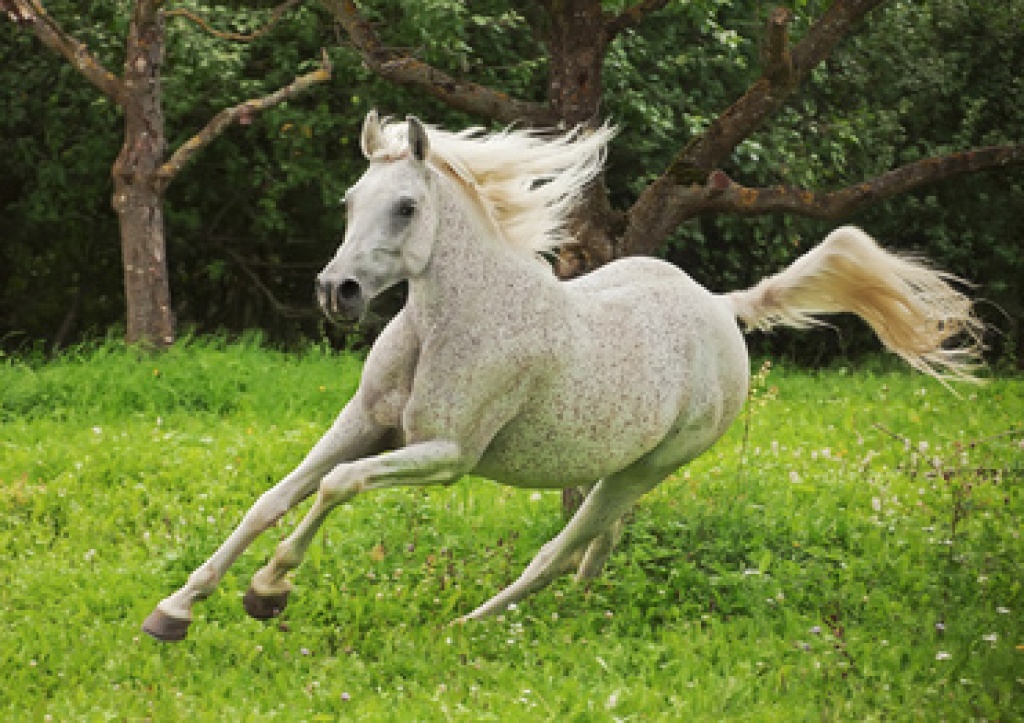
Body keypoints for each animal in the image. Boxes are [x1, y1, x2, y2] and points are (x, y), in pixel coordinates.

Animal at [143, 112, 982, 641]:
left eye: (406, 206)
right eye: (352, 200)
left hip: (650, 465)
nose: (335, 292)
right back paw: (586, 607)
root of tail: (722, 308)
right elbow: (275, 496)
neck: (450, 321)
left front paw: (267, 592)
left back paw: (475, 622)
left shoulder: (447, 456)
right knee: (598, 541)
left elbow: (335, 487)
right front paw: (175, 609)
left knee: (560, 546)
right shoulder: (367, 423)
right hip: (620, 463)